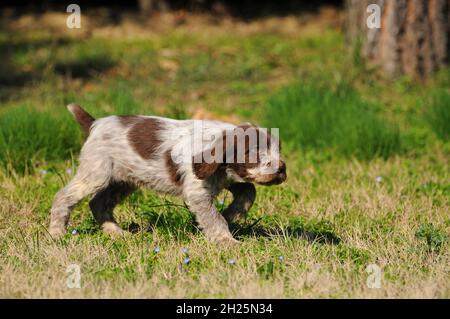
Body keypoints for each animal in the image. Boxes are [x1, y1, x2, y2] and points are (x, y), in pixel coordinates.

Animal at [49, 105, 286, 245]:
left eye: (278, 149)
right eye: (254, 152)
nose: (281, 168)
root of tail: (94, 124)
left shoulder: (226, 177)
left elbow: (249, 192)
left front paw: (231, 215)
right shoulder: (198, 192)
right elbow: (213, 218)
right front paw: (227, 241)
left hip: (122, 180)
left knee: (98, 203)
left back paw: (116, 232)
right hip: (96, 173)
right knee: (64, 197)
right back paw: (56, 233)